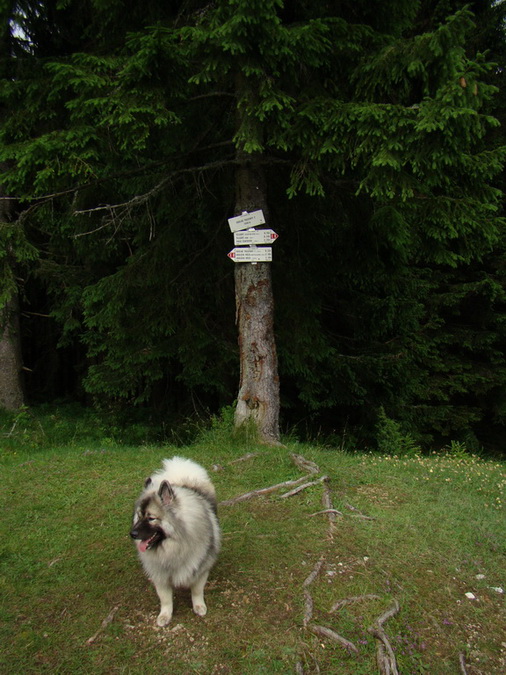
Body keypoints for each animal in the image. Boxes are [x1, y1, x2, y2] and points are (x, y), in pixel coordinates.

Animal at [129, 456, 220, 624]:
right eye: (139, 516)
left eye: (151, 518)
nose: (132, 533)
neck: (175, 546)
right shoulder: (160, 574)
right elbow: (165, 598)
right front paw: (165, 615)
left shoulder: (200, 568)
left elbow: (197, 591)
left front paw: (199, 606)